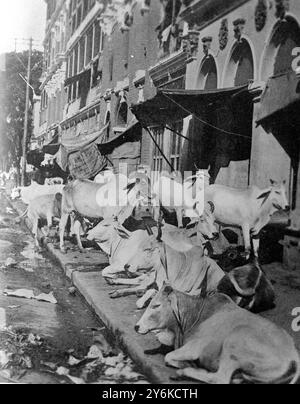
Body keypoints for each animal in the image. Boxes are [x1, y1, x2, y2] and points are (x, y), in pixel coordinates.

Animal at [137, 284, 300, 386]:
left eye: (156, 305)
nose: (136, 326)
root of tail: (293, 355)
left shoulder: (194, 347)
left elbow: (168, 356)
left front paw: (187, 364)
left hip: (235, 341)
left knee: (220, 378)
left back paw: (184, 371)